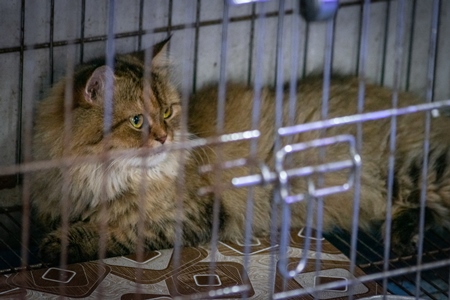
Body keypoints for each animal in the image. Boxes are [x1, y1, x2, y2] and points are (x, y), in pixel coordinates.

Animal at [31, 38, 450, 264]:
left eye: (166, 112)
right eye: (137, 121)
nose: (166, 137)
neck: (100, 178)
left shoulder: (193, 216)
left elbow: (119, 230)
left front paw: (61, 243)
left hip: (420, 169)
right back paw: (404, 236)